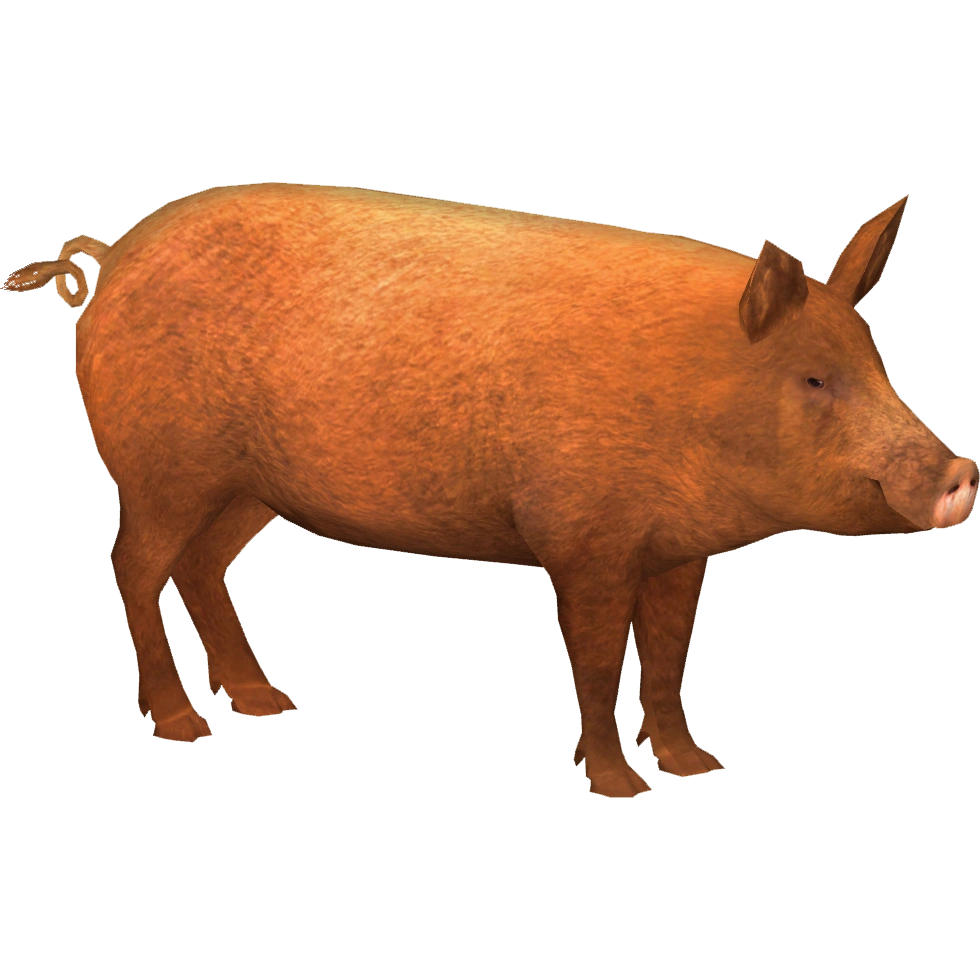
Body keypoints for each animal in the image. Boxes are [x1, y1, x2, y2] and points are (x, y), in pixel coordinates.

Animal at [3, 185, 975, 799]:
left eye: (878, 363)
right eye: (814, 380)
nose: (959, 473)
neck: (694, 396)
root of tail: (110, 260)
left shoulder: (679, 549)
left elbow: (669, 657)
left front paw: (701, 768)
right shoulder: (582, 538)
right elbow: (596, 659)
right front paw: (620, 790)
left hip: (248, 490)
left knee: (203, 570)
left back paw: (272, 705)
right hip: (159, 467)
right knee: (131, 566)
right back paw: (184, 729)